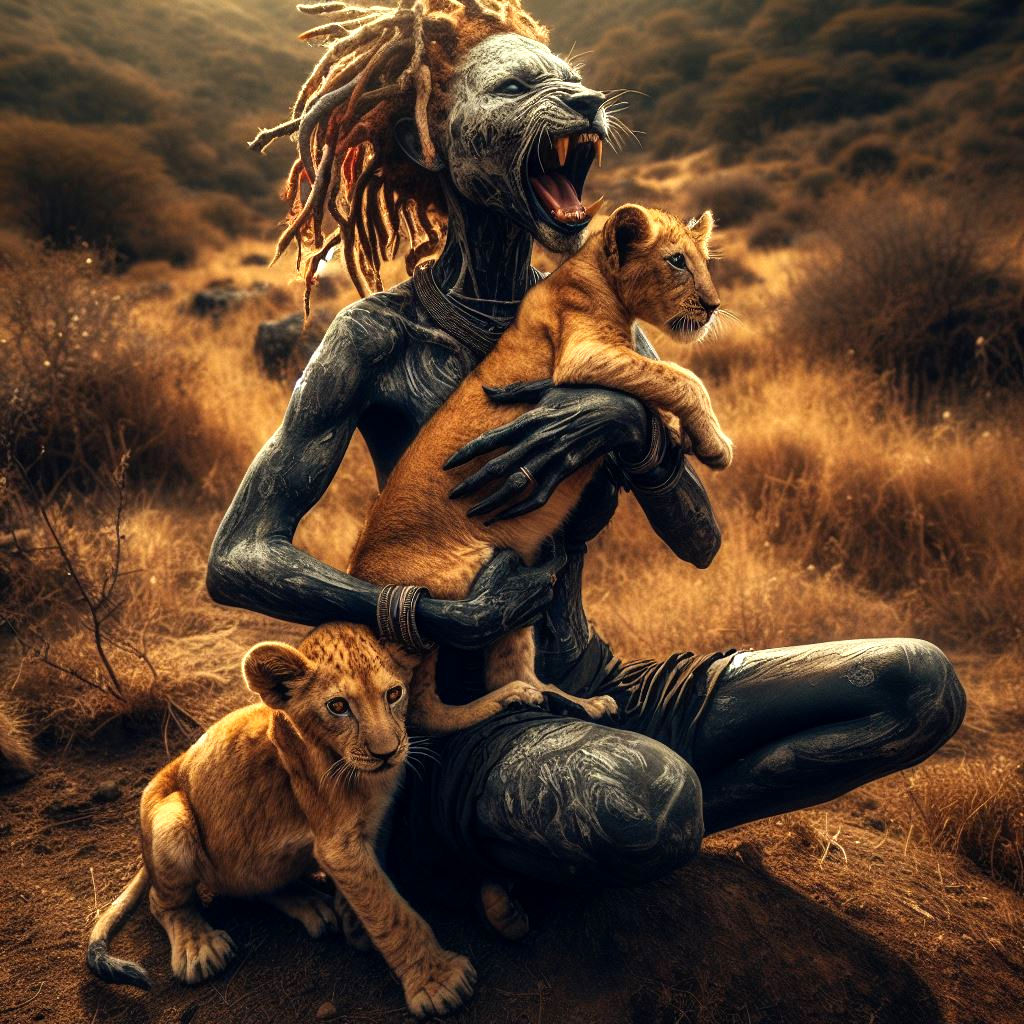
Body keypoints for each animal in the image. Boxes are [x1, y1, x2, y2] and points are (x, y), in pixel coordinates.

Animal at [85, 622, 476, 1019]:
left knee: (257, 882)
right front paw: (436, 981)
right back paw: (199, 947)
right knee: (162, 901)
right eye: (338, 706)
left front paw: (352, 917)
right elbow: (390, 910)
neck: (367, 779)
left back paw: (313, 905)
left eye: (394, 694)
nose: (387, 753)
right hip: (172, 821)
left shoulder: (376, 821)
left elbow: (374, 881)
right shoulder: (338, 843)